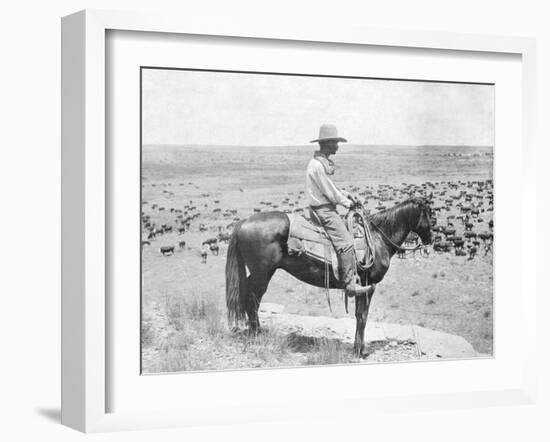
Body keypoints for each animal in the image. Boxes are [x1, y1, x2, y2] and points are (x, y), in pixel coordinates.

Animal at [226, 197, 434, 356]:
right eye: (428, 214)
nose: (430, 239)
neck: (377, 239)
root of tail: (243, 222)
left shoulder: (362, 287)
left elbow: (359, 315)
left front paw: (358, 348)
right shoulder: (368, 285)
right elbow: (363, 316)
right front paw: (359, 351)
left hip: (257, 273)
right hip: (262, 274)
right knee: (252, 299)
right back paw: (257, 334)